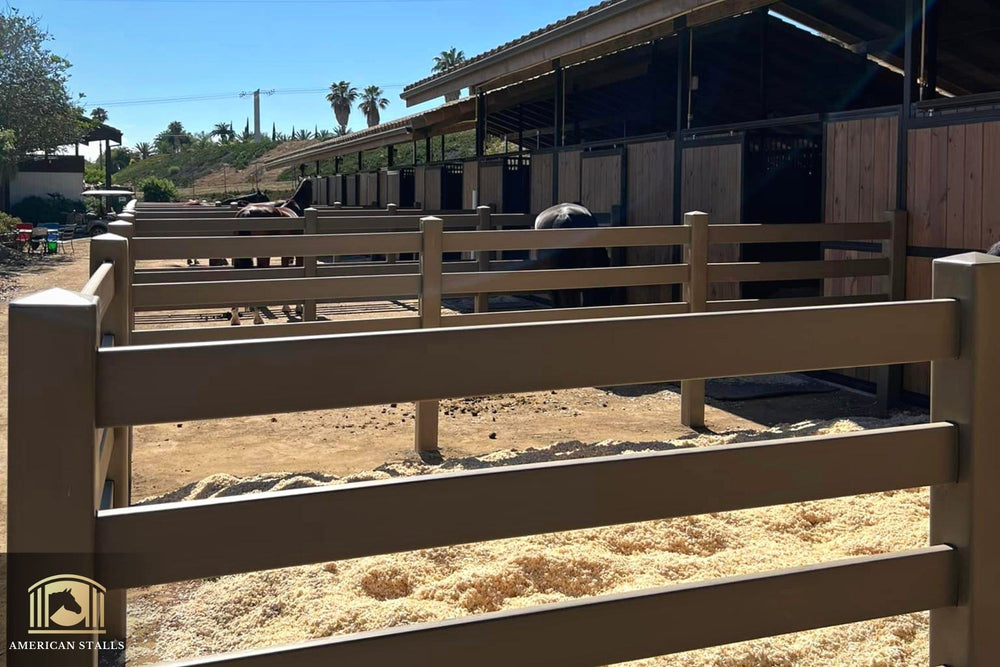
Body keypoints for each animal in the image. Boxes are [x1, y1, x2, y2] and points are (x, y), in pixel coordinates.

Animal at [230, 179, 312, 325]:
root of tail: (246, 213)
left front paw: (286, 307)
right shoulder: (298, 254)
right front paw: (298, 307)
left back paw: (235, 317)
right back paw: (257, 317)